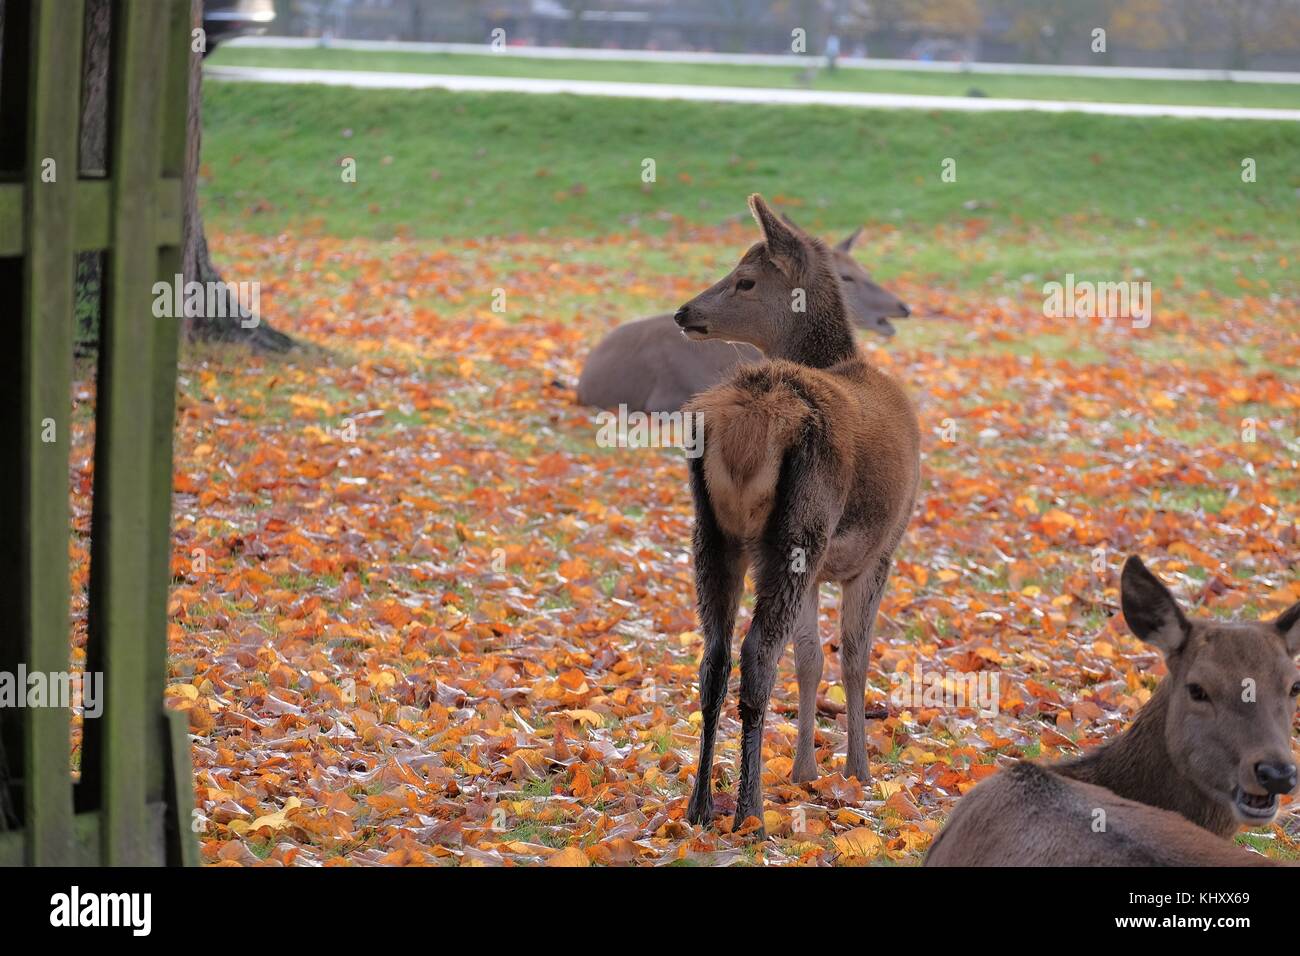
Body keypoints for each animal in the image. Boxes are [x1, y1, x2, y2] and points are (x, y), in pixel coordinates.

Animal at [676, 195, 921, 837]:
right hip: (799, 528)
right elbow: (854, 656)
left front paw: (806, 769)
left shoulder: (824, 566)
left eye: (744, 278)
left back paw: (700, 805)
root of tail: (749, 421)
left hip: (714, 534)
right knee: (757, 654)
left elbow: (810, 659)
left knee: (714, 657)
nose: (684, 312)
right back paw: (749, 809)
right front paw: (859, 770)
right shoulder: (882, 549)